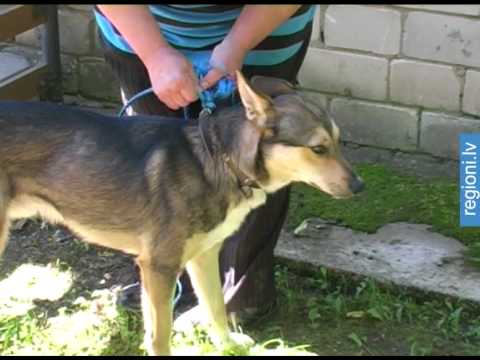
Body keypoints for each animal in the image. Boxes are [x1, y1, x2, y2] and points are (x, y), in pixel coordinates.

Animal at [0, 71, 364, 354]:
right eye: (318, 149)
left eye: (339, 141)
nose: (360, 186)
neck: (221, 160)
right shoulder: (158, 268)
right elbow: (160, 337)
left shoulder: (204, 256)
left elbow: (215, 307)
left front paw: (227, 346)